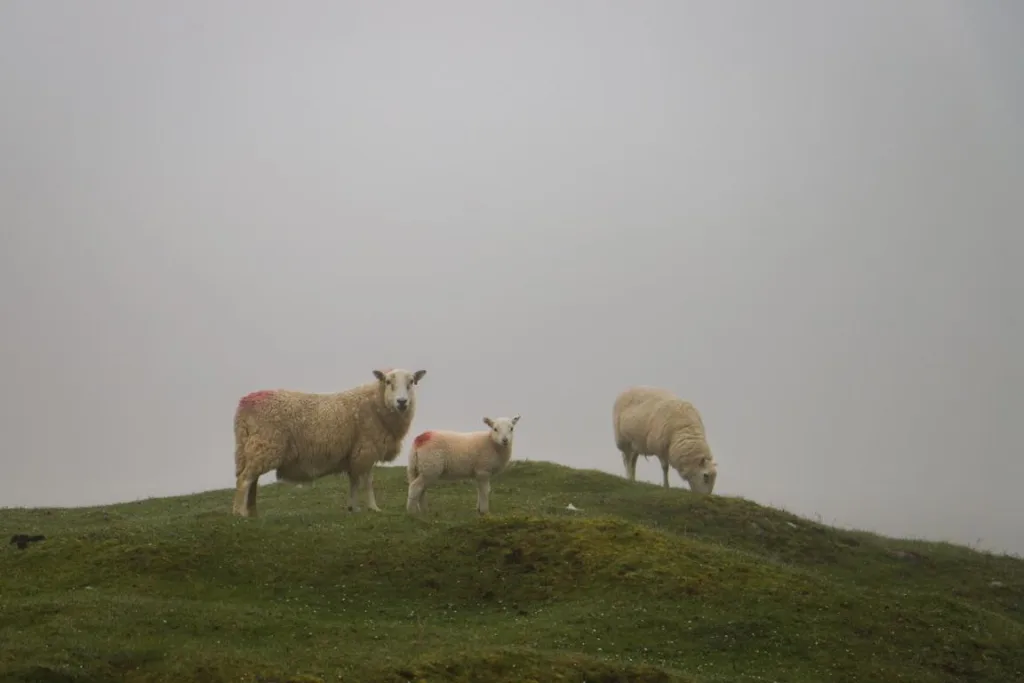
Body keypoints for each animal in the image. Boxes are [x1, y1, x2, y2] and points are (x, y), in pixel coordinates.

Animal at [230, 368, 425, 518]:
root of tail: (245, 403)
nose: (402, 402)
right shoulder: (366, 450)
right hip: (265, 445)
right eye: (388, 382)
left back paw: (253, 513)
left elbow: (354, 482)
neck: (375, 405)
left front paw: (353, 508)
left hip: (252, 448)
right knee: (244, 480)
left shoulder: (354, 454)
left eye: (411, 382)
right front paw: (374, 508)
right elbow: (368, 481)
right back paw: (240, 513)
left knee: (252, 481)